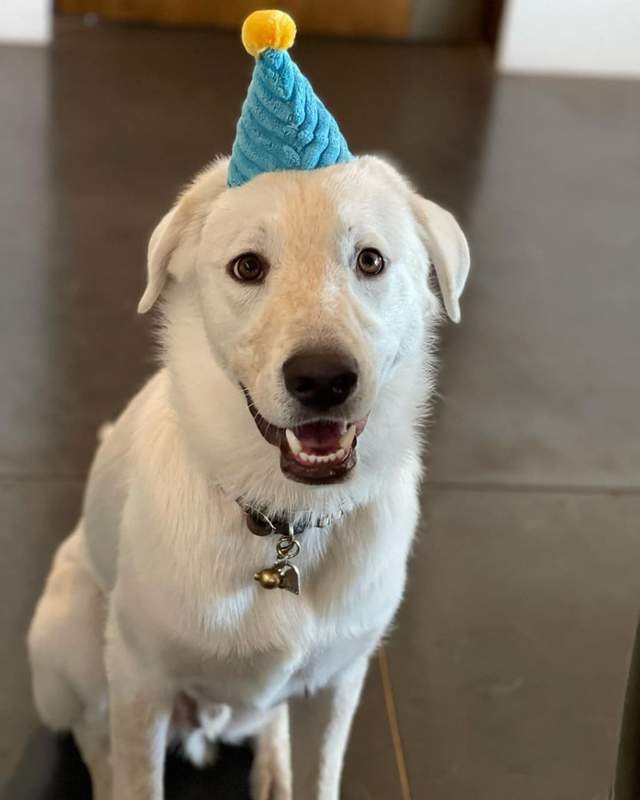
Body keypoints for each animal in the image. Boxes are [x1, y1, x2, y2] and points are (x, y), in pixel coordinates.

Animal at [27, 154, 469, 799]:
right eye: (247, 267)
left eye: (370, 260)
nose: (322, 379)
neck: (285, 519)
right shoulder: (140, 679)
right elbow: (137, 774)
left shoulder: (337, 683)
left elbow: (320, 773)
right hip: (69, 632)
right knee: (92, 729)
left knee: (270, 720)